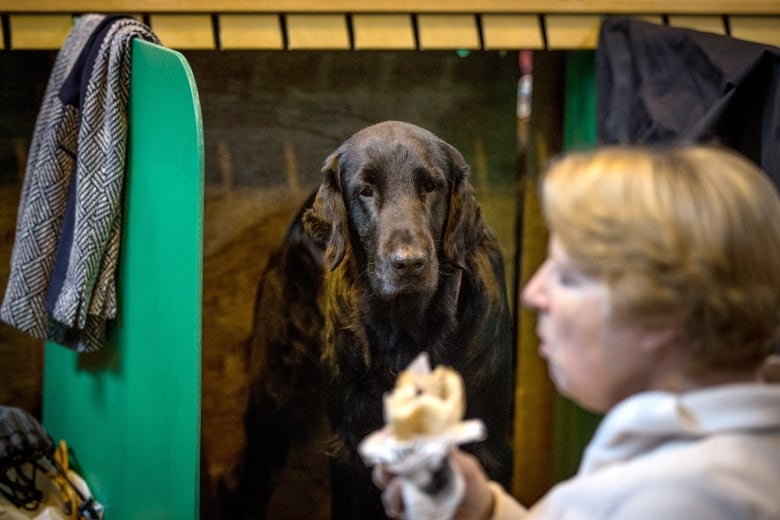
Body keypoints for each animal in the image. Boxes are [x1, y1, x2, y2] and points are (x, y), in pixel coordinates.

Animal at [222, 123, 516, 520]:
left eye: (431, 187)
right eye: (365, 190)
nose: (408, 263)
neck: (406, 331)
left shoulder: (489, 444)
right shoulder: (351, 447)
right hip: (273, 393)